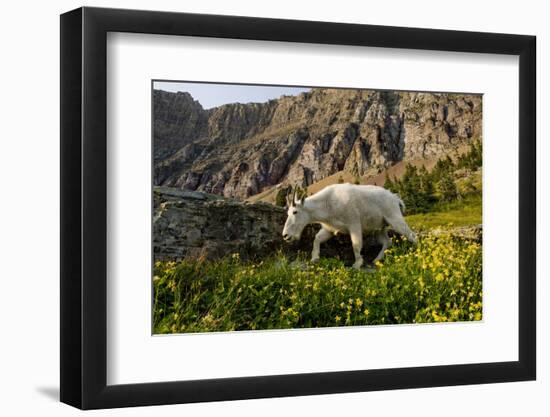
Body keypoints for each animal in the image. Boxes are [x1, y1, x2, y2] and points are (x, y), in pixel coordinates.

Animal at [284, 183, 418, 268]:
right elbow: (317, 239)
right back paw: (376, 260)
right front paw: (314, 258)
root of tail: (395, 198)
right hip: (379, 227)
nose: (285, 235)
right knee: (387, 241)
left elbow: (356, 245)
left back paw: (419, 252)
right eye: (288, 212)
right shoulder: (329, 229)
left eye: (295, 212)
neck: (327, 204)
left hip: (394, 217)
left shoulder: (354, 224)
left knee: (412, 235)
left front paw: (357, 264)